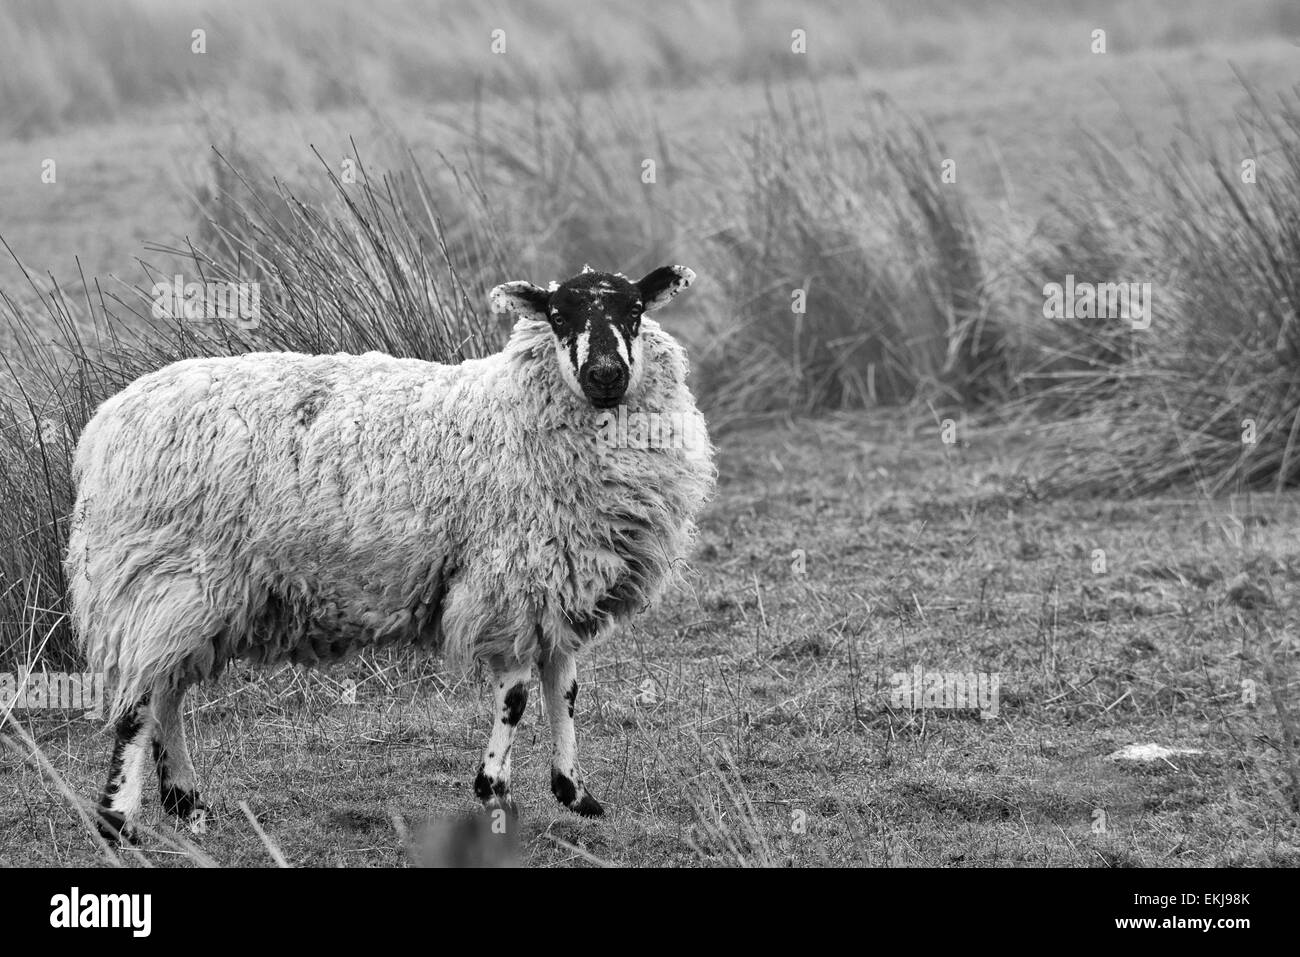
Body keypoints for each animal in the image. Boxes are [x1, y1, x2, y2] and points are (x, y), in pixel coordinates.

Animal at [67, 264, 716, 841]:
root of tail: (104, 425)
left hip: (190, 594)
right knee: (139, 701)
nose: (606, 375)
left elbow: (565, 689)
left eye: (636, 310)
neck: (513, 409)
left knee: (167, 691)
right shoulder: (507, 582)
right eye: (558, 316)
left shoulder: (558, 582)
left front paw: (575, 793)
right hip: (162, 575)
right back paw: (120, 820)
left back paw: (186, 802)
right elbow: (515, 694)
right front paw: (494, 792)